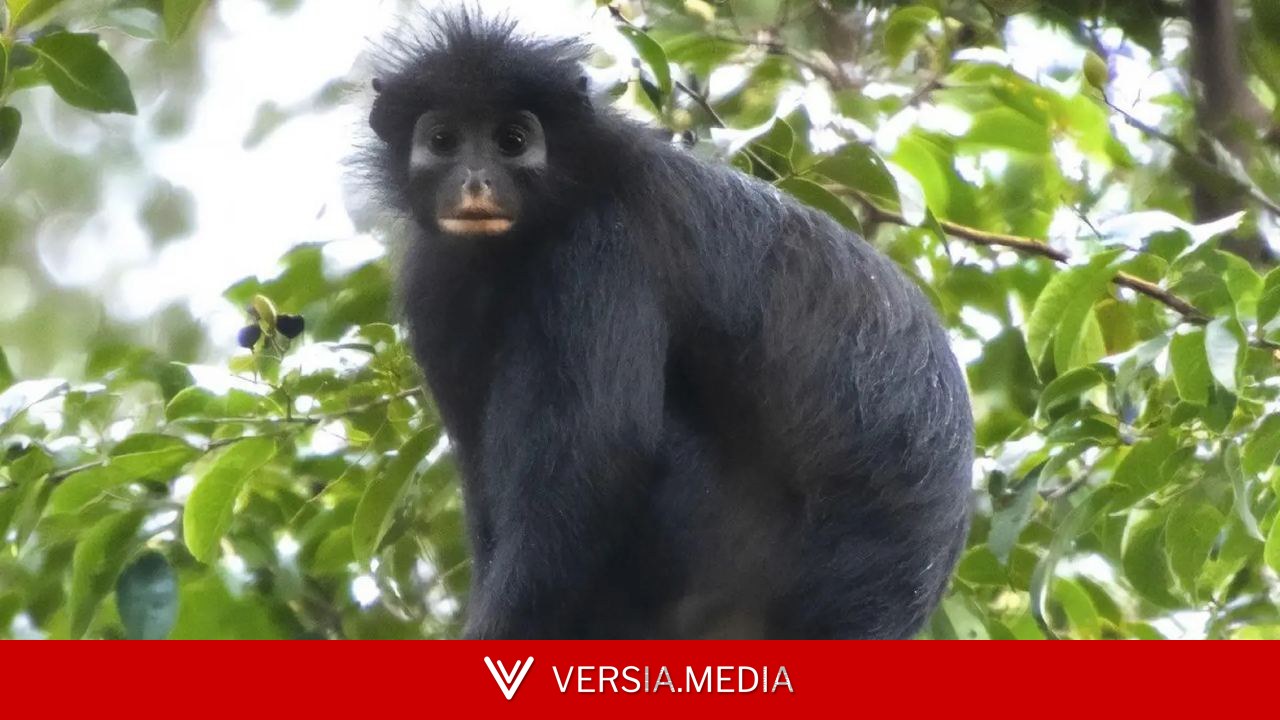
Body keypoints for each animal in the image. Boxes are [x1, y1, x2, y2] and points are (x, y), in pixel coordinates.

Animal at [359, 11, 973, 639]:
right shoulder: (436, 282)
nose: (476, 180)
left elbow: (597, 460)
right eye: (443, 141)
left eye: (512, 141)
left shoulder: (600, 246)